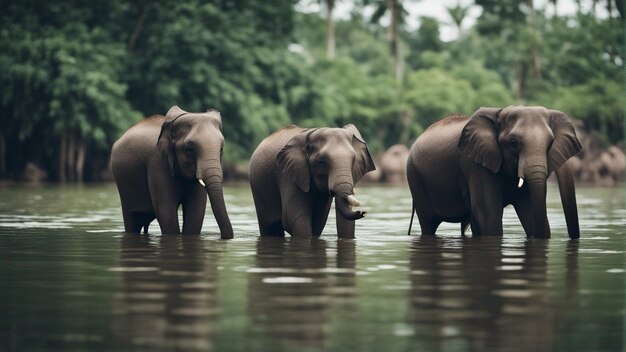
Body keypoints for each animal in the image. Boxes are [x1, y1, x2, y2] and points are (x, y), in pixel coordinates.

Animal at [108, 104, 233, 236]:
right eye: (189, 149)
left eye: (221, 149)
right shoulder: (157, 162)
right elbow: (166, 209)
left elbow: (196, 210)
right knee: (132, 221)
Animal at [404, 106, 580, 239]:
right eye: (513, 143)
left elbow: (529, 210)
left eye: (551, 142)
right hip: (415, 177)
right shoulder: (475, 164)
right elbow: (488, 214)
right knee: (428, 224)